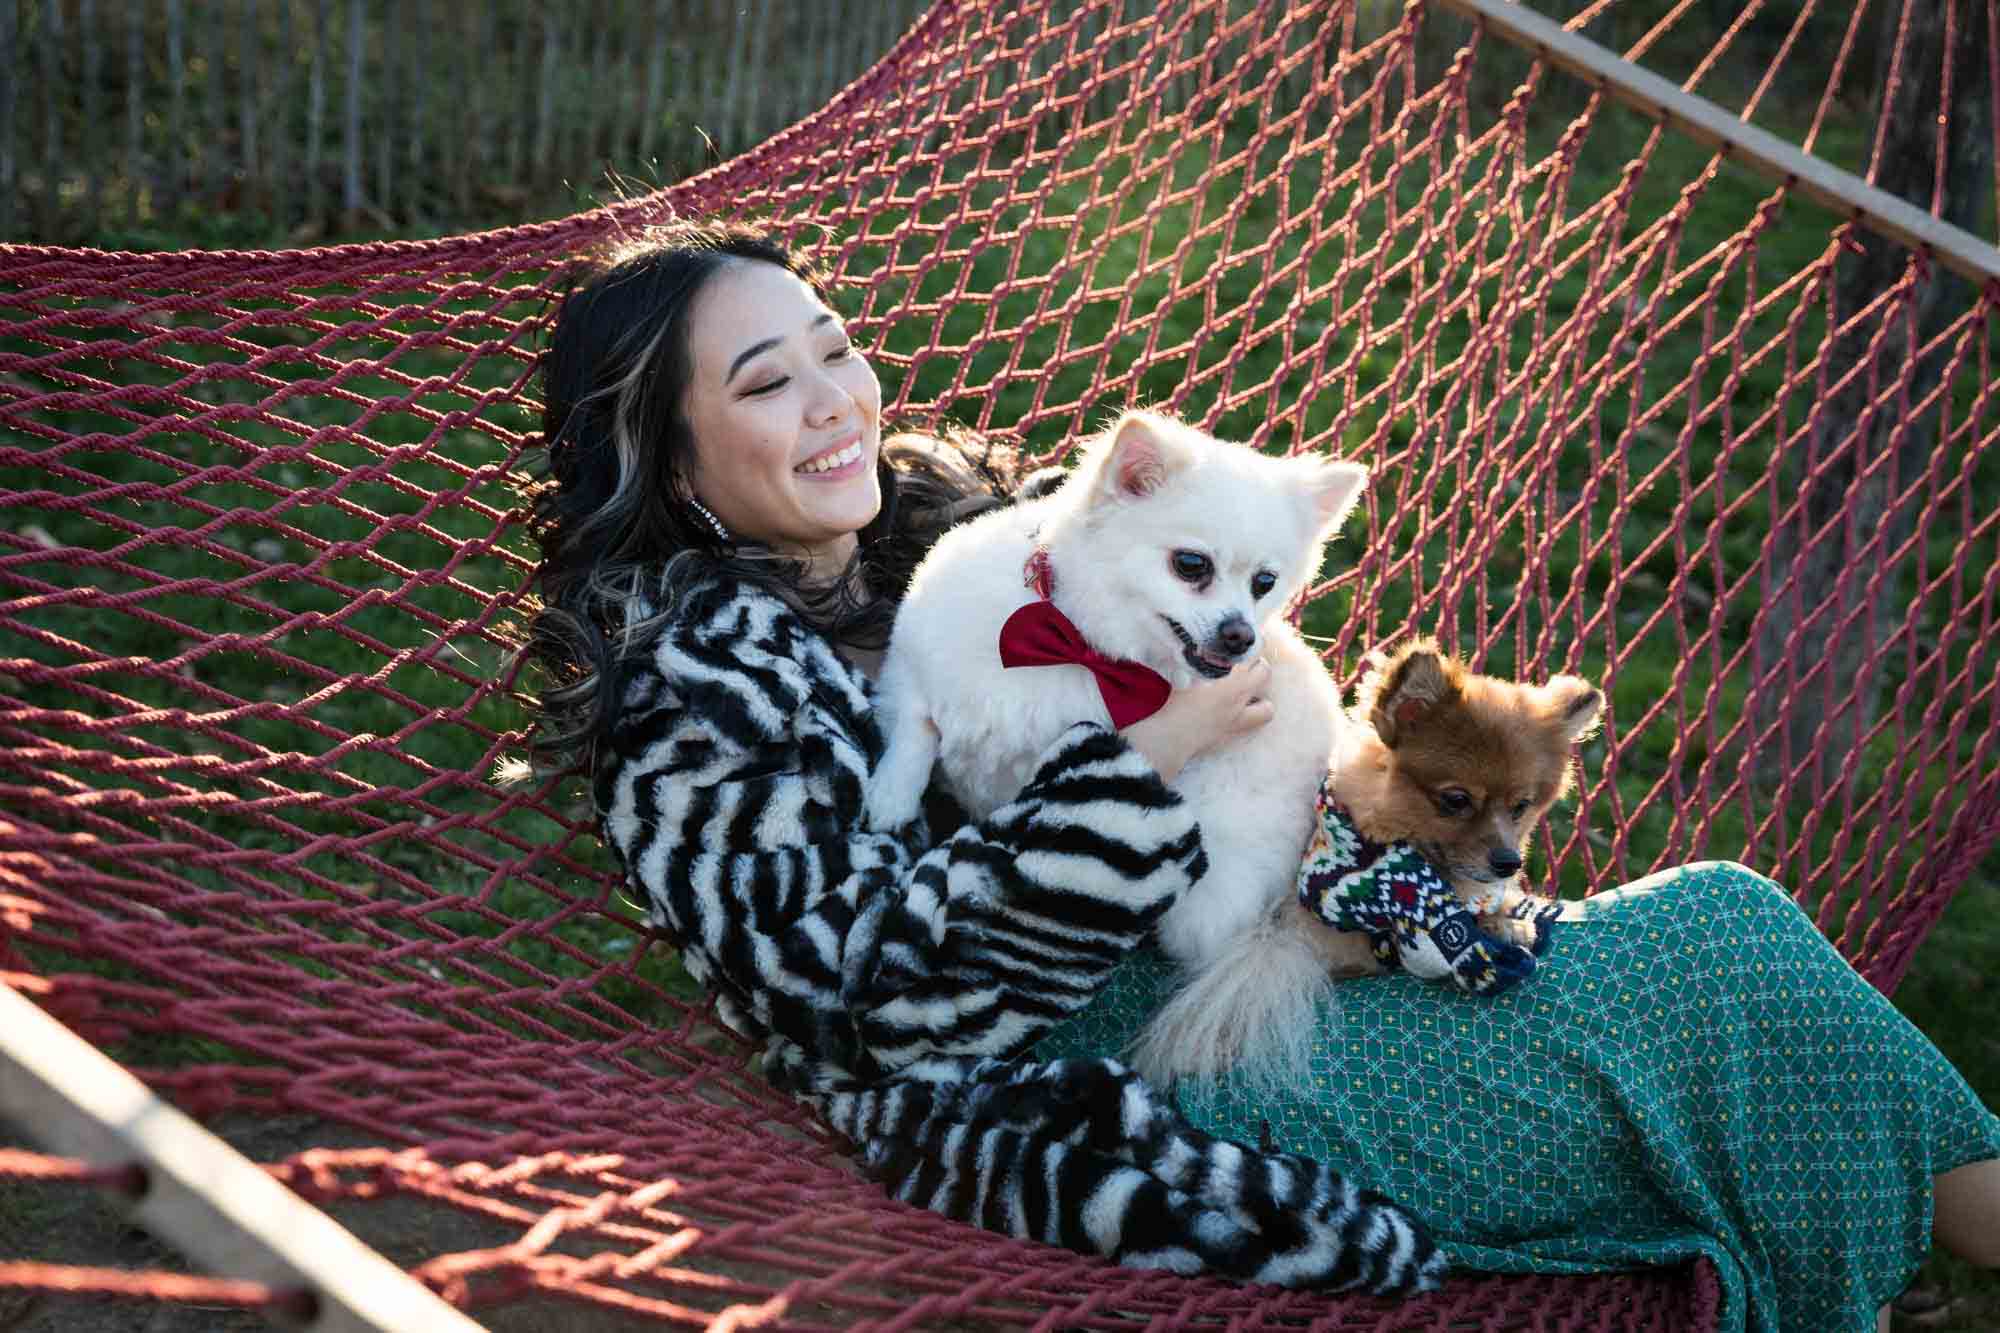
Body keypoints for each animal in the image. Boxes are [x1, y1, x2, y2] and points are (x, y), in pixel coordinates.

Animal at [868, 410, 1368, 1088]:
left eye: (1265, 583)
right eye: (1191, 564)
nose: (1241, 634)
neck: (1076, 646)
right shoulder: (914, 659)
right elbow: (917, 725)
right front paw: (890, 797)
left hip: (1212, 897)